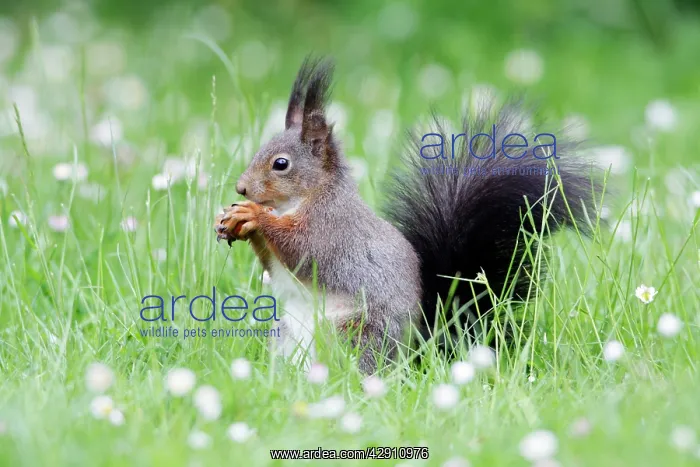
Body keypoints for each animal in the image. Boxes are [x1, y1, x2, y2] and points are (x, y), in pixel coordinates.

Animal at [215, 56, 600, 374]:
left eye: (280, 164)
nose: (241, 189)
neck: (300, 200)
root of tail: (416, 352)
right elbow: (271, 262)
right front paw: (236, 222)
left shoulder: (331, 230)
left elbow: (301, 249)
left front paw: (255, 216)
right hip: (286, 333)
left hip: (356, 333)